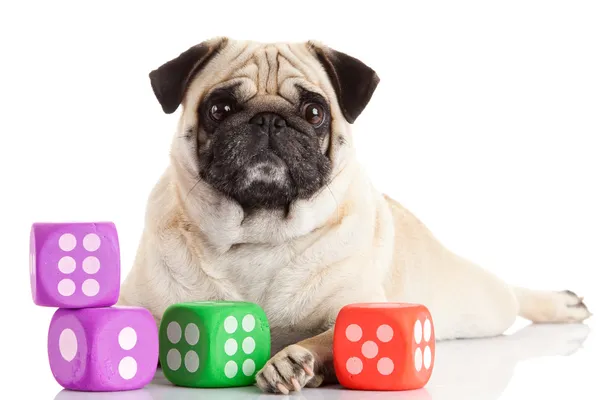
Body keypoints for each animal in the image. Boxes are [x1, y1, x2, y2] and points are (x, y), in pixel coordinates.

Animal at [118, 36, 592, 394]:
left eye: (314, 112)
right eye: (219, 110)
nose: (269, 120)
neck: (261, 232)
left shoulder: (356, 305)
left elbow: (331, 337)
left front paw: (291, 360)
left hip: (478, 301)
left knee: (512, 295)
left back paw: (563, 303)